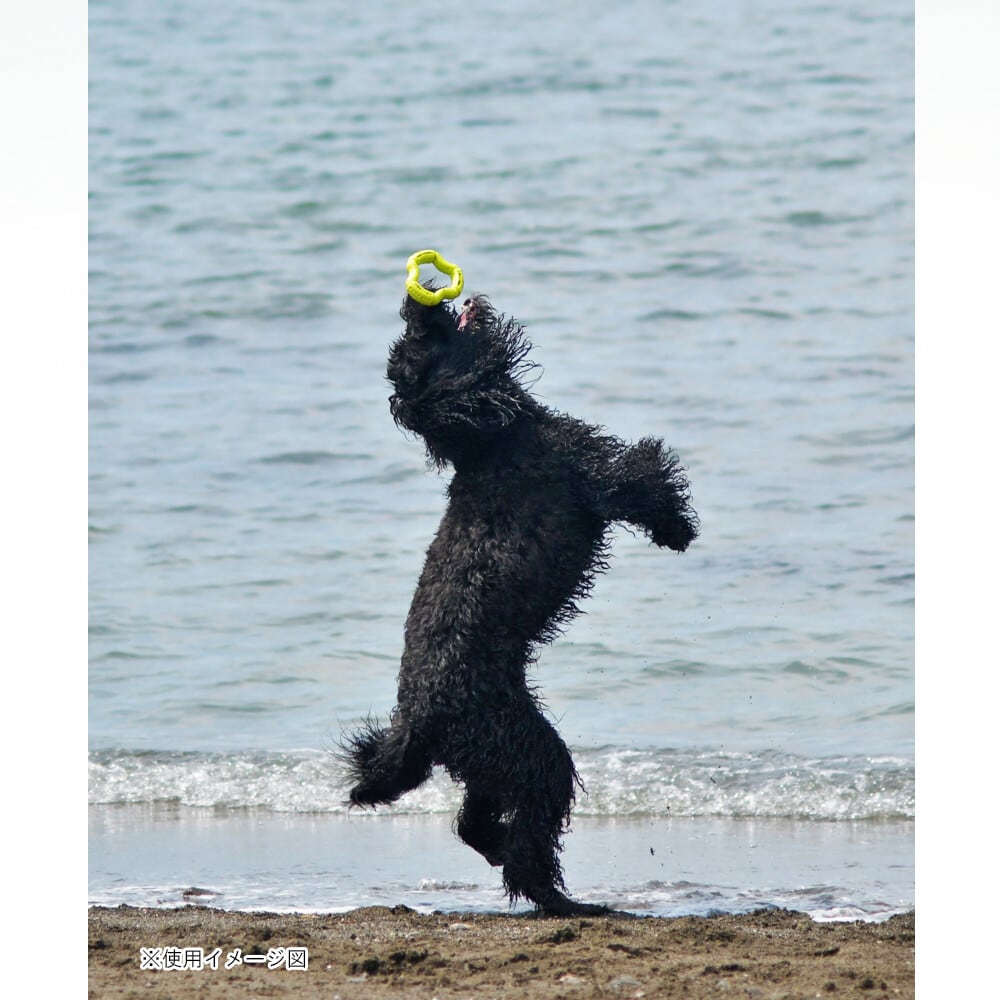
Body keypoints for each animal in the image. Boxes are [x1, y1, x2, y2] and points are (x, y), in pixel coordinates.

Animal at [340, 289, 698, 915]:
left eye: (405, 343)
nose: (413, 300)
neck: (492, 438)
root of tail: (416, 722)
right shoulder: (592, 475)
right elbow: (643, 478)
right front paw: (678, 529)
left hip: (491, 759)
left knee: (473, 825)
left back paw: (506, 855)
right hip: (533, 753)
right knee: (528, 842)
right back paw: (567, 902)